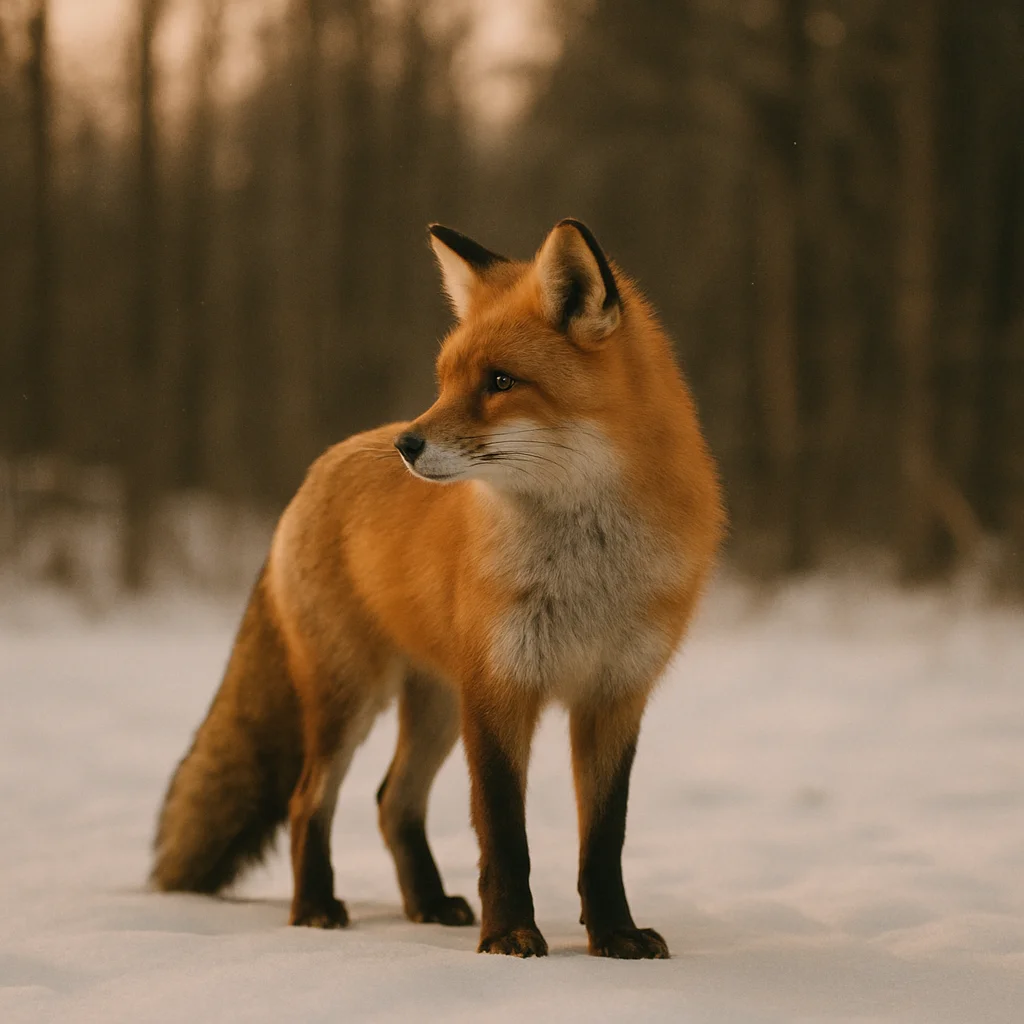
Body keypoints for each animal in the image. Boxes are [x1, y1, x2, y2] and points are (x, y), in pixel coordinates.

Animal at [152, 219, 725, 959]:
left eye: (501, 381)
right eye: (446, 381)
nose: (407, 445)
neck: (589, 569)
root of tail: (316, 471)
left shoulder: (615, 695)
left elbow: (604, 840)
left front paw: (615, 937)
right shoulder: (500, 687)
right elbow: (504, 835)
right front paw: (510, 937)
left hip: (435, 706)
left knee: (392, 801)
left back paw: (425, 903)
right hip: (352, 698)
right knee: (311, 800)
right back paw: (315, 909)